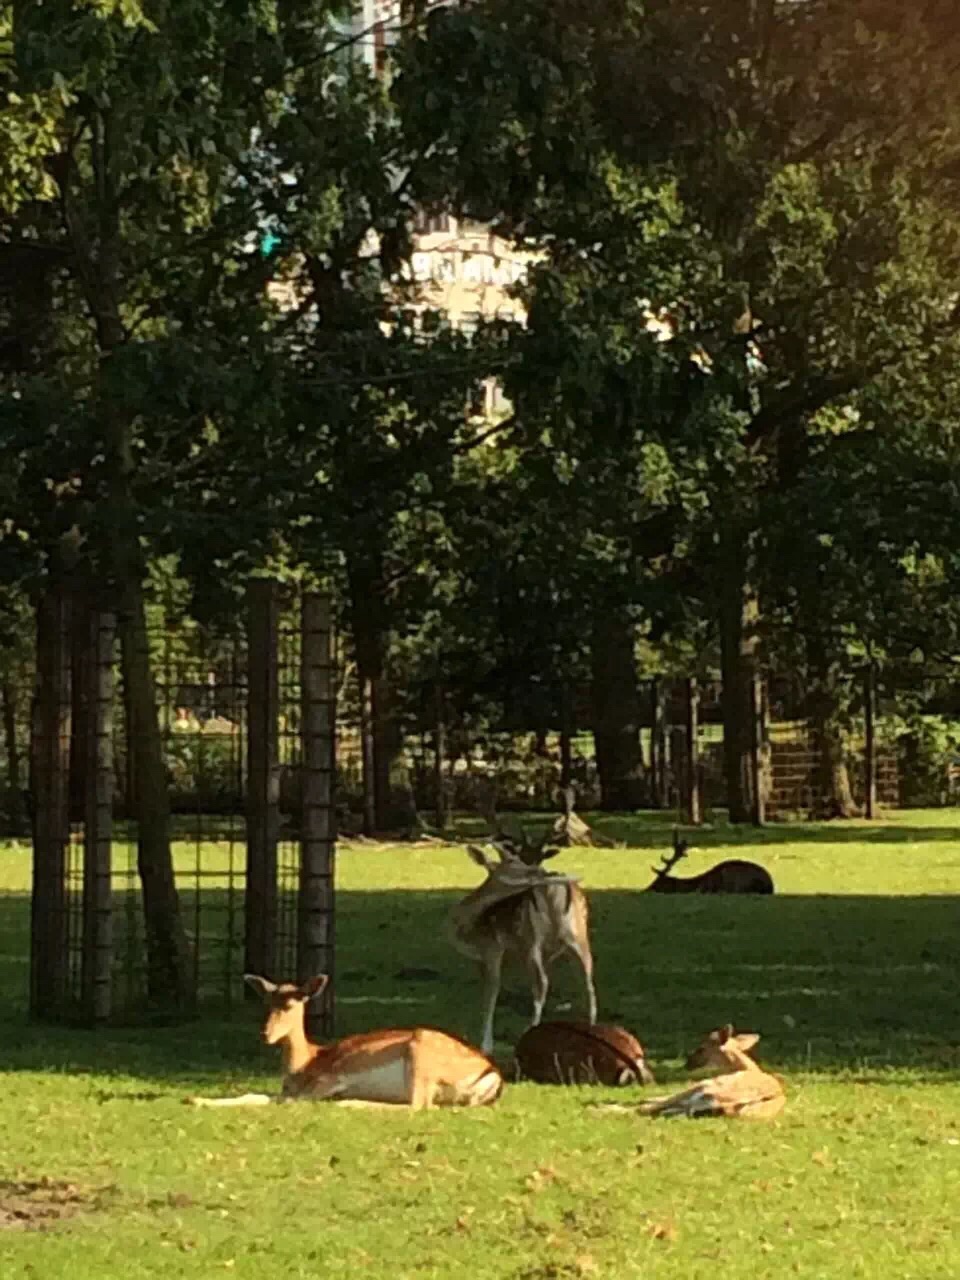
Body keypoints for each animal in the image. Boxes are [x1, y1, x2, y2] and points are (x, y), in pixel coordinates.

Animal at [186, 977, 504, 1111]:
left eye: (290, 1004)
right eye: (268, 1003)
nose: (266, 1034)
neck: (304, 1064)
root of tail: (493, 1076)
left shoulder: (330, 1078)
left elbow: (279, 1100)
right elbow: (258, 1094)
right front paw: (194, 1099)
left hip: (422, 1053)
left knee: (419, 1106)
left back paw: (350, 1102)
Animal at [450, 834, 593, 1054]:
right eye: (512, 861)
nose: (539, 871)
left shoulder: (491, 949)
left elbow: (491, 992)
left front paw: (485, 1045)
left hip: (531, 939)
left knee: (542, 982)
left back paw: (530, 1031)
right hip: (578, 936)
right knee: (588, 981)